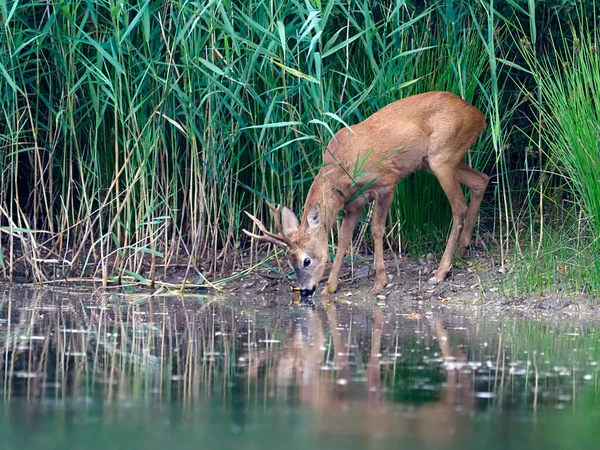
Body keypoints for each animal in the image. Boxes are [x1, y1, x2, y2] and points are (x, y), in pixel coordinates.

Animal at [243, 91, 488, 298]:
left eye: (306, 261)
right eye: (288, 261)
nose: (305, 291)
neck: (343, 168)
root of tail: (480, 116)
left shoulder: (386, 182)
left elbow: (377, 229)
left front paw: (380, 281)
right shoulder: (353, 204)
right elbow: (343, 238)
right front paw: (331, 285)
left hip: (442, 156)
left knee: (459, 206)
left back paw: (441, 271)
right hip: (433, 161)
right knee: (481, 180)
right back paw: (463, 248)